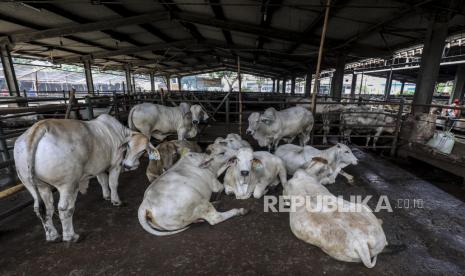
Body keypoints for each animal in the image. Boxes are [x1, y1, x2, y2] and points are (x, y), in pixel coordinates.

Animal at [14, 114, 154, 242]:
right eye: (129, 146)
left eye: (143, 151)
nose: (129, 166)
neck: (119, 132)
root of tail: (40, 126)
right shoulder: (115, 164)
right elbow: (113, 183)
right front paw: (116, 201)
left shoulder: (98, 167)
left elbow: (103, 181)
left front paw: (106, 196)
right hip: (67, 184)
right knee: (64, 208)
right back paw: (70, 236)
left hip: (35, 184)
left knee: (43, 208)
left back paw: (52, 235)